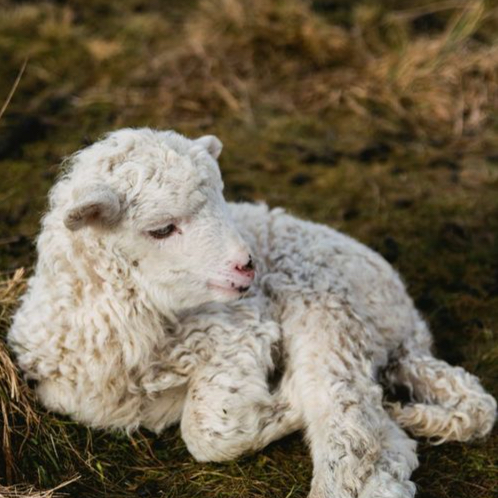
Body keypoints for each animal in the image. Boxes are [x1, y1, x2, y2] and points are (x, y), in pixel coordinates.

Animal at [9, 128, 496, 498]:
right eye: (161, 229)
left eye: (223, 200)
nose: (246, 264)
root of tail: (409, 329)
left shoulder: (239, 329)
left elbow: (208, 431)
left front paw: (286, 399)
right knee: (386, 439)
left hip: (330, 308)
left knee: (349, 428)